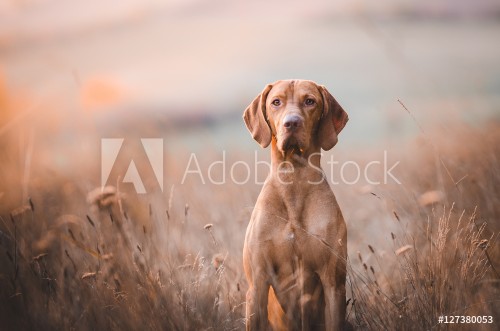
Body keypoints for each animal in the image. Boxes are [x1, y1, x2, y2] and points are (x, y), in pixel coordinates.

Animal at [242, 79, 348, 330]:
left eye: (310, 101)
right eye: (276, 102)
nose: (291, 123)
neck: (294, 180)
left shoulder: (334, 284)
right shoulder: (257, 284)